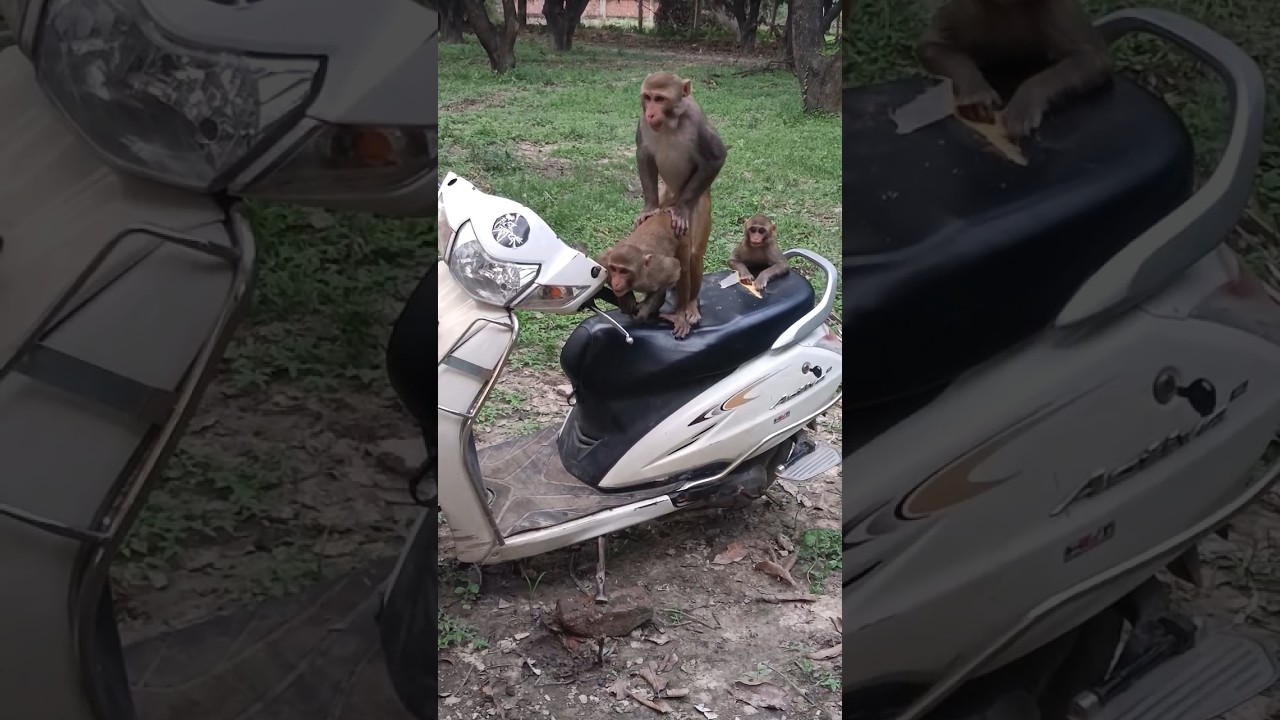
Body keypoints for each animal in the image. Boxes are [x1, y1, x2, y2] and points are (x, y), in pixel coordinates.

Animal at [635, 70, 728, 332]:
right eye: (647, 97)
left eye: (660, 98)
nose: (651, 112)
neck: (671, 121)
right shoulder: (642, 123)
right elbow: (644, 154)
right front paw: (648, 208)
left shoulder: (697, 120)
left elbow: (716, 157)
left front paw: (681, 209)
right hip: (666, 195)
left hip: (702, 203)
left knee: (694, 255)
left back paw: (691, 305)